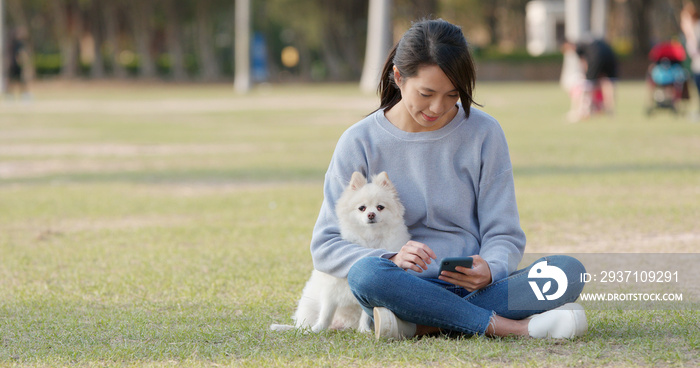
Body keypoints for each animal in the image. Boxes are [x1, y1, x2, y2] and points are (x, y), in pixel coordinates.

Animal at [270, 172, 410, 334]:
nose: (371, 214)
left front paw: (364, 330)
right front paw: (317, 330)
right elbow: (326, 313)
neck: (370, 237)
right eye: (362, 208)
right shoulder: (331, 288)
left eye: (380, 207)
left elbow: (365, 315)